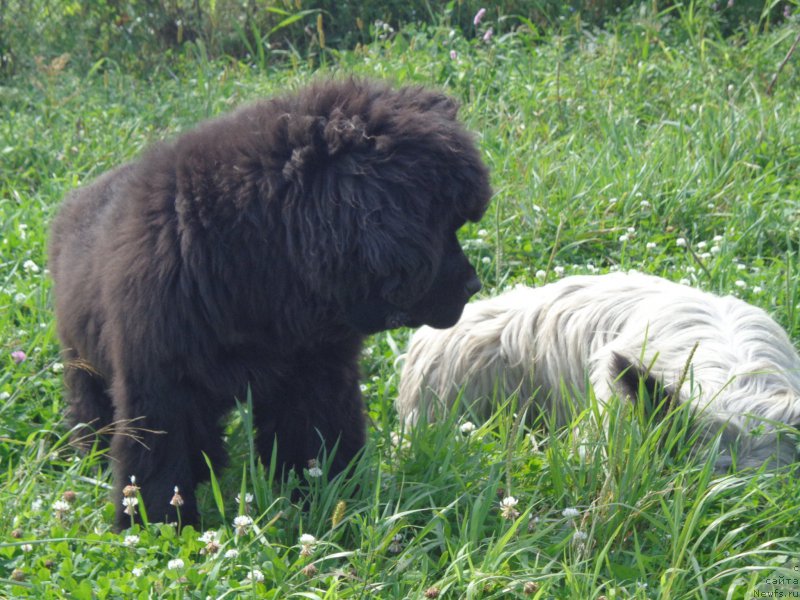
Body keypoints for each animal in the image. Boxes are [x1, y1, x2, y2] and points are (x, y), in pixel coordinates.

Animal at [50, 78, 490, 524]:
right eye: (438, 227)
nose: (473, 285)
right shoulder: (158, 385)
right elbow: (157, 466)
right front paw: (153, 526)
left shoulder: (315, 374)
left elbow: (319, 445)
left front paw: (335, 506)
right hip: (82, 361)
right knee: (93, 410)